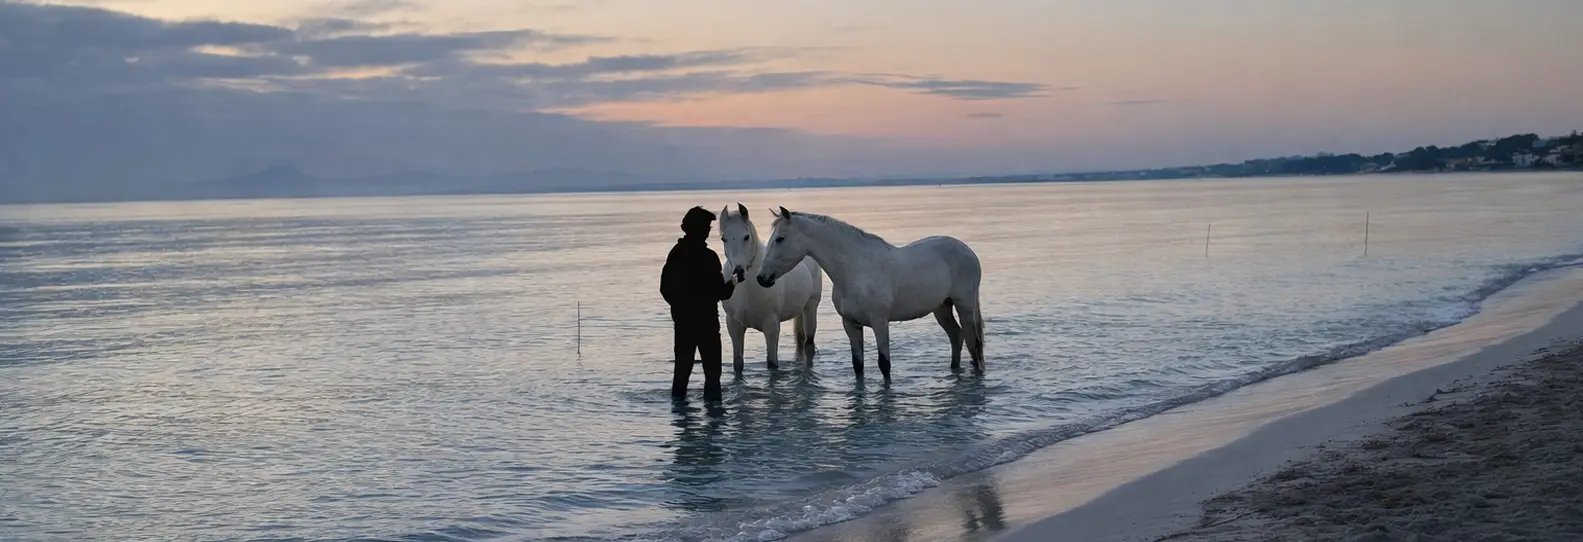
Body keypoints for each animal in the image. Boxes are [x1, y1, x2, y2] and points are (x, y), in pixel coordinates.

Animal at [718, 203, 824, 373]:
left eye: (746, 237)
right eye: (724, 238)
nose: (739, 272)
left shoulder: (771, 326)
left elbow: (772, 364)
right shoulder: (734, 325)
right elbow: (738, 363)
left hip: (810, 307)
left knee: (809, 345)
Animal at [755, 207, 984, 381]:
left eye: (780, 239)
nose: (762, 278)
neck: (855, 270)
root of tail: (968, 252)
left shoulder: (879, 322)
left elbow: (884, 364)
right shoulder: (851, 323)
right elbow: (858, 365)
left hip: (964, 305)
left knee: (973, 343)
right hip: (942, 307)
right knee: (957, 337)